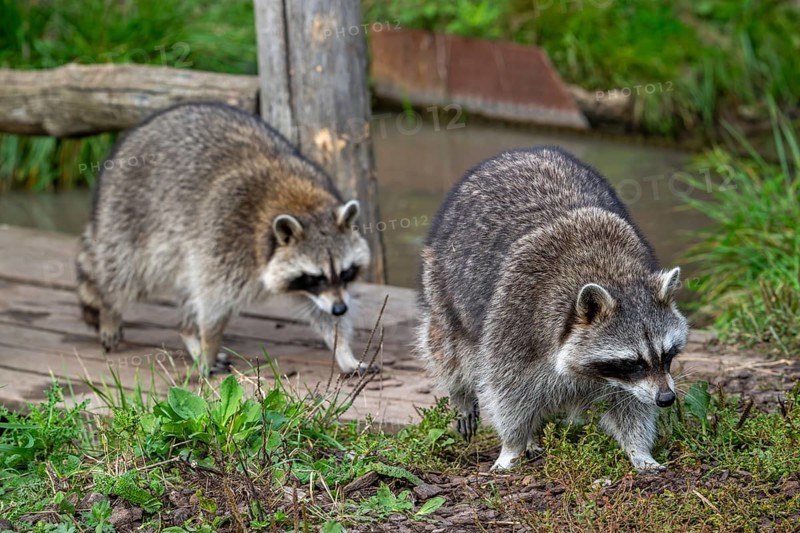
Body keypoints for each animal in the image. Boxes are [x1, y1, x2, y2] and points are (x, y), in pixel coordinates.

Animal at [77, 102, 372, 376]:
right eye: (315, 277)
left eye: (346, 272)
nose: (340, 309)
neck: (300, 203)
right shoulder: (225, 237)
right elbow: (213, 302)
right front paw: (208, 346)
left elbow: (321, 312)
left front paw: (343, 350)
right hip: (130, 215)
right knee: (125, 272)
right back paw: (110, 308)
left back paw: (187, 331)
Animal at [418, 146, 689, 471]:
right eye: (632, 362)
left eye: (667, 355)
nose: (666, 398)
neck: (612, 273)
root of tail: (521, 152)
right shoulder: (516, 319)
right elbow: (507, 390)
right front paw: (512, 445)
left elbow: (631, 405)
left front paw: (639, 449)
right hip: (444, 282)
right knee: (447, 348)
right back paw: (463, 395)